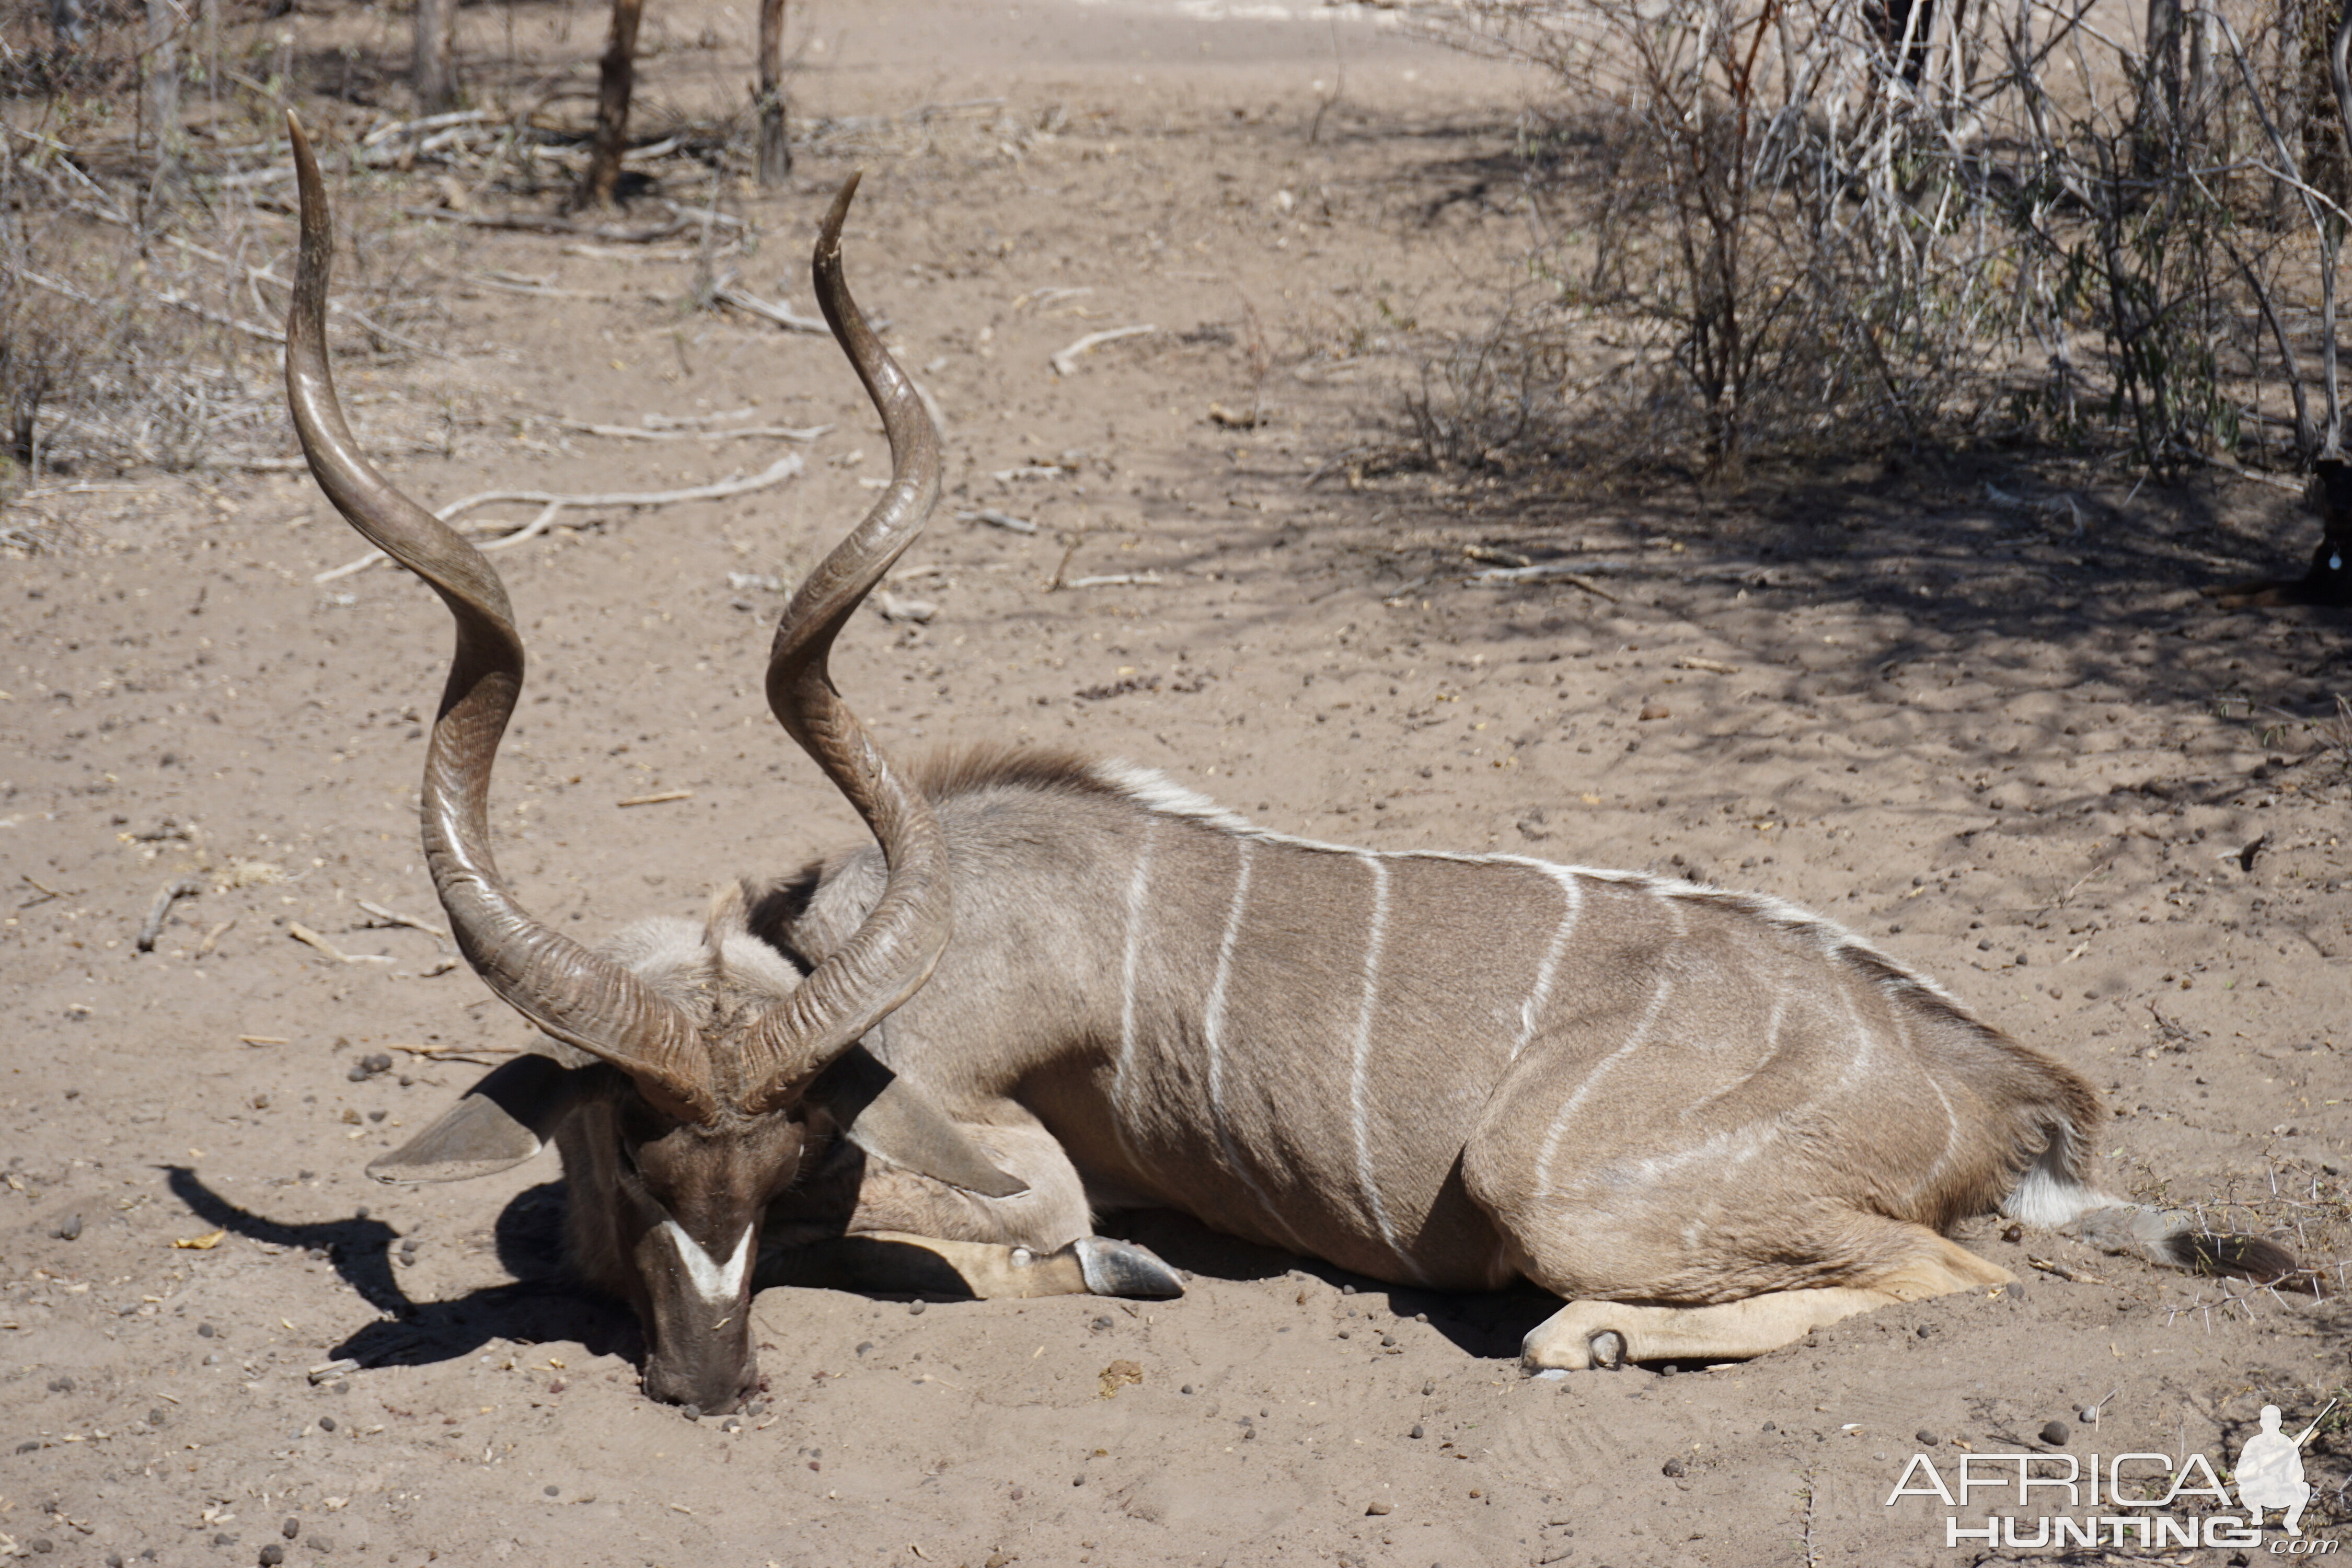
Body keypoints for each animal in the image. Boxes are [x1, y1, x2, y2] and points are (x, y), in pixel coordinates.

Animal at [289, 116, 2296, 1420]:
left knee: (1956, 1272)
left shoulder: (999, 1155)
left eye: (781, 1158)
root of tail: (1999, 1089)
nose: (712, 1386)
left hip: (1556, 1185)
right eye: (642, 1151)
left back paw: (1590, 1338)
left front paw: (1119, 1267)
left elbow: (1020, 1232)